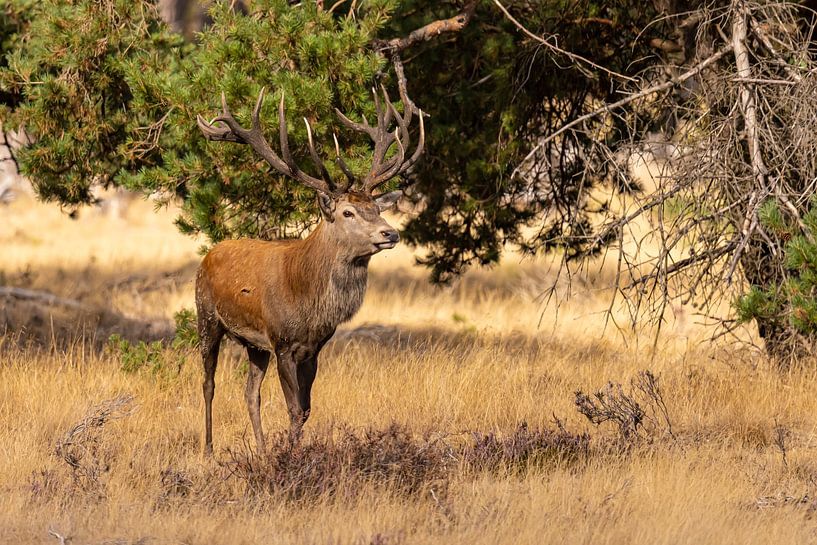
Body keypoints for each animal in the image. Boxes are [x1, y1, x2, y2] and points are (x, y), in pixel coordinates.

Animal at [194, 72, 424, 455]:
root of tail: (210, 253)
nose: (390, 233)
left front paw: (289, 452)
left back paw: (261, 450)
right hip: (207, 317)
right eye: (347, 212)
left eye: (376, 208)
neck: (308, 302)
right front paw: (292, 456)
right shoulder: (283, 342)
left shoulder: (313, 348)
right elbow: (292, 408)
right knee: (208, 383)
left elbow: (305, 410)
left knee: (250, 392)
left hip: (254, 345)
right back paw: (209, 449)